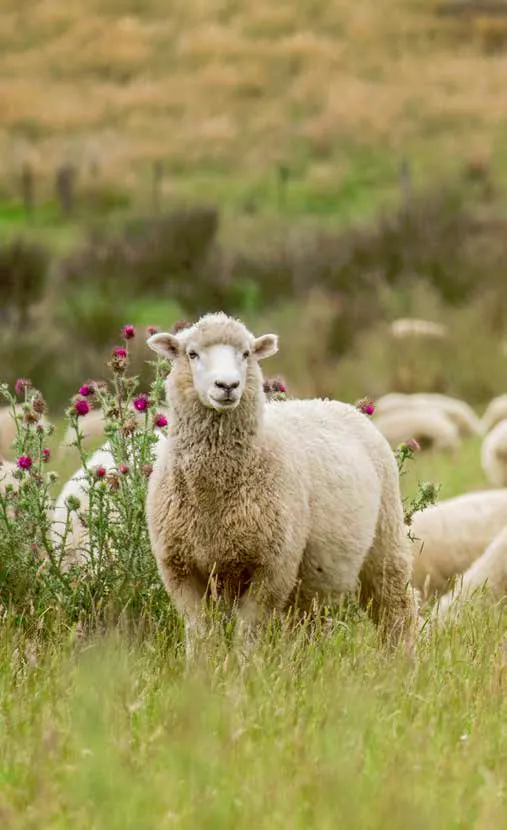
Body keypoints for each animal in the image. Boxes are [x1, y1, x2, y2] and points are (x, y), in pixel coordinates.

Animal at [145, 314, 418, 656]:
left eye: (246, 353)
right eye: (191, 354)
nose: (227, 386)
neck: (213, 499)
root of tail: (331, 402)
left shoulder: (272, 568)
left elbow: (247, 634)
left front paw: (244, 668)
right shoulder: (180, 568)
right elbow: (201, 635)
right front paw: (201, 670)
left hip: (385, 539)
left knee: (395, 607)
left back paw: (401, 659)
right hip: (313, 579)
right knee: (309, 624)